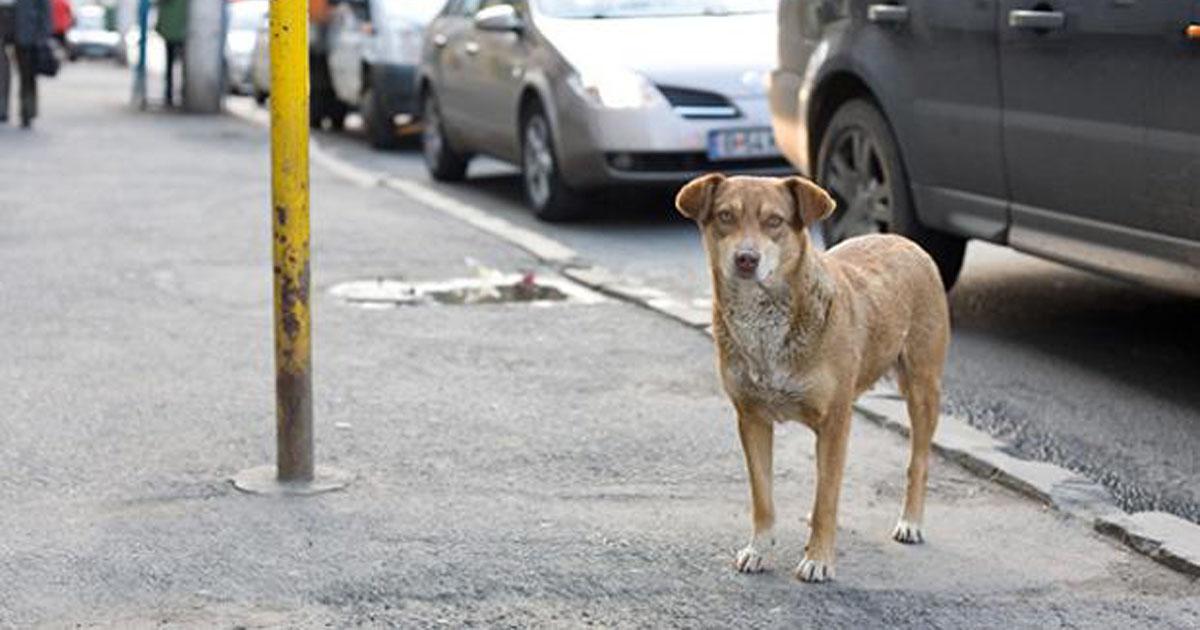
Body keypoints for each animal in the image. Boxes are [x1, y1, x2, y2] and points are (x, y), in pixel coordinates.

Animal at [676, 171, 945, 580]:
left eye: (774, 221)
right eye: (725, 216)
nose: (746, 259)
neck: (764, 323)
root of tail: (902, 241)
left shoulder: (834, 420)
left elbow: (827, 499)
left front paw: (819, 558)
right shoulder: (751, 419)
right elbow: (763, 496)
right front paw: (759, 548)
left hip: (921, 386)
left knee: (918, 462)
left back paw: (911, 521)